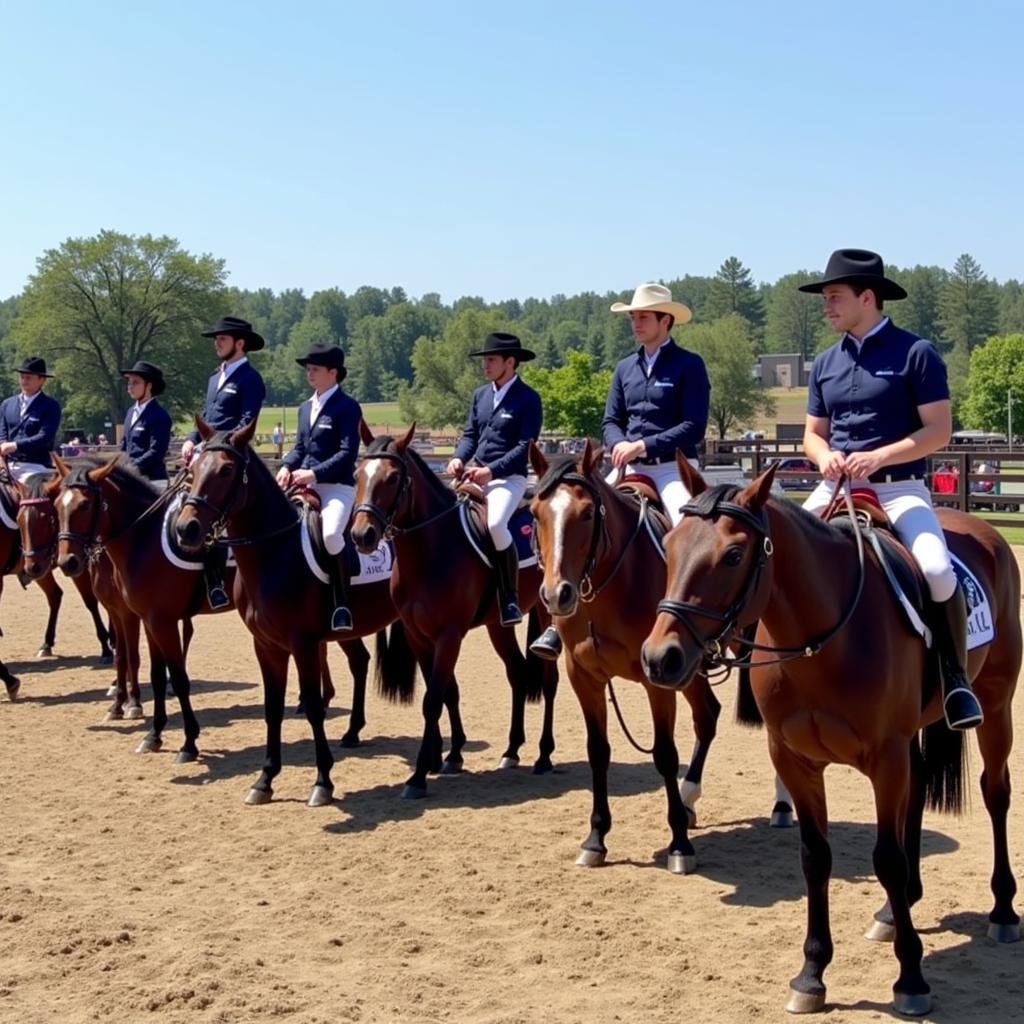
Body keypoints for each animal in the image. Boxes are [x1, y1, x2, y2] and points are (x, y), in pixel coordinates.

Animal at [0, 473, 115, 700]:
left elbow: (91, 602)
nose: (31, 566)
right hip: (41, 567)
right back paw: (47, 643)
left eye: (47, 519)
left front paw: (106, 647)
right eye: (19, 519)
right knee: (55, 595)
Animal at [172, 417, 415, 806]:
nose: (186, 528)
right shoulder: (267, 645)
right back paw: (352, 731)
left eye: (226, 470)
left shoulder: (303, 644)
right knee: (360, 662)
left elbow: (314, 706)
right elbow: (272, 707)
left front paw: (323, 782)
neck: (274, 552)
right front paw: (264, 779)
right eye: (193, 469)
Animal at [350, 423, 561, 798]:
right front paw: (447, 756)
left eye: (392, 478)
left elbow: (434, 698)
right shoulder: (418, 634)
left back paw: (543, 755)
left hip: (546, 613)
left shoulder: (449, 634)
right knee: (518, 673)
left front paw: (418, 776)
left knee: (549, 681)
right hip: (498, 625)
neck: (430, 549)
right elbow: (446, 692)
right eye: (358, 474)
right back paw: (511, 750)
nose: (363, 535)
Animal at [524, 438, 786, 872]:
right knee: (707, 715)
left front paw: (679, 844)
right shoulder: (584, 677)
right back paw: (690, 797)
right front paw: (596, 838)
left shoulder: (657, 679)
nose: (556, 594)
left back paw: (781, 805)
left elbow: (664, 754)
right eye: (534, 514)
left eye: (587, 513)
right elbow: (598, 751)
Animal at [634, 458, 1019, 1015]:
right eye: (671, 544)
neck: (823, 639)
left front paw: (911, 979)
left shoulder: (885, 760)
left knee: (996, 793)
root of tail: (986, 531)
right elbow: (816, 857)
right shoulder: (795, 759)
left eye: (733, 554)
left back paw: (1003, 910)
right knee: (920, 792)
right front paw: (812, 974)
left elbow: (887, 859)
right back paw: (895, 911)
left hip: (996, 703)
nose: (659, 658)